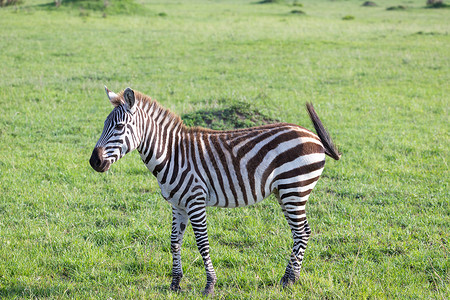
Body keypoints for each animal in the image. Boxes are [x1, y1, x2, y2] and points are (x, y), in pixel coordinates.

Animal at [89, 87, 340, 296]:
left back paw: (290, 279)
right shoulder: (177, 204)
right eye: (104, 125)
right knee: (302, 231)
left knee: (301, 232)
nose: (94, 162)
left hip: (294, 188)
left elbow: (202, 243)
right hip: (285, 191)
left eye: (119, 127)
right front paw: (175, 283)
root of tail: (312, 136)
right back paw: (288, 277)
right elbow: (174, 242)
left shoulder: (195, 200)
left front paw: (210, 285)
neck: (171, 154)